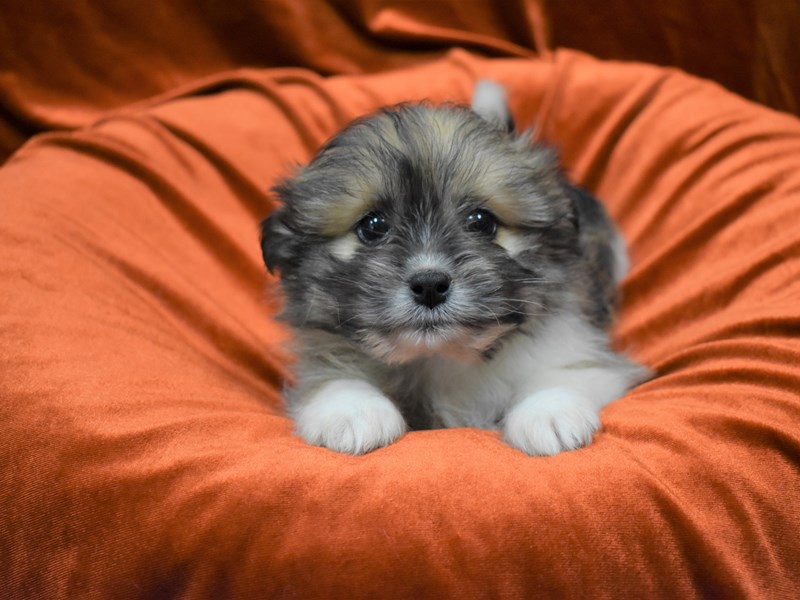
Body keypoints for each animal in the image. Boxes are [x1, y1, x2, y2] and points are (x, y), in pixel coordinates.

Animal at [262, 79, 648, 454]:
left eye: (481, 221)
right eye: (372, 226)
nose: (430, 285)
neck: (442, 356)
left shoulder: (581, 352)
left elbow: (565, 374)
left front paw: (549, 412)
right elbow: (330, 378)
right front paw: (353, 411)